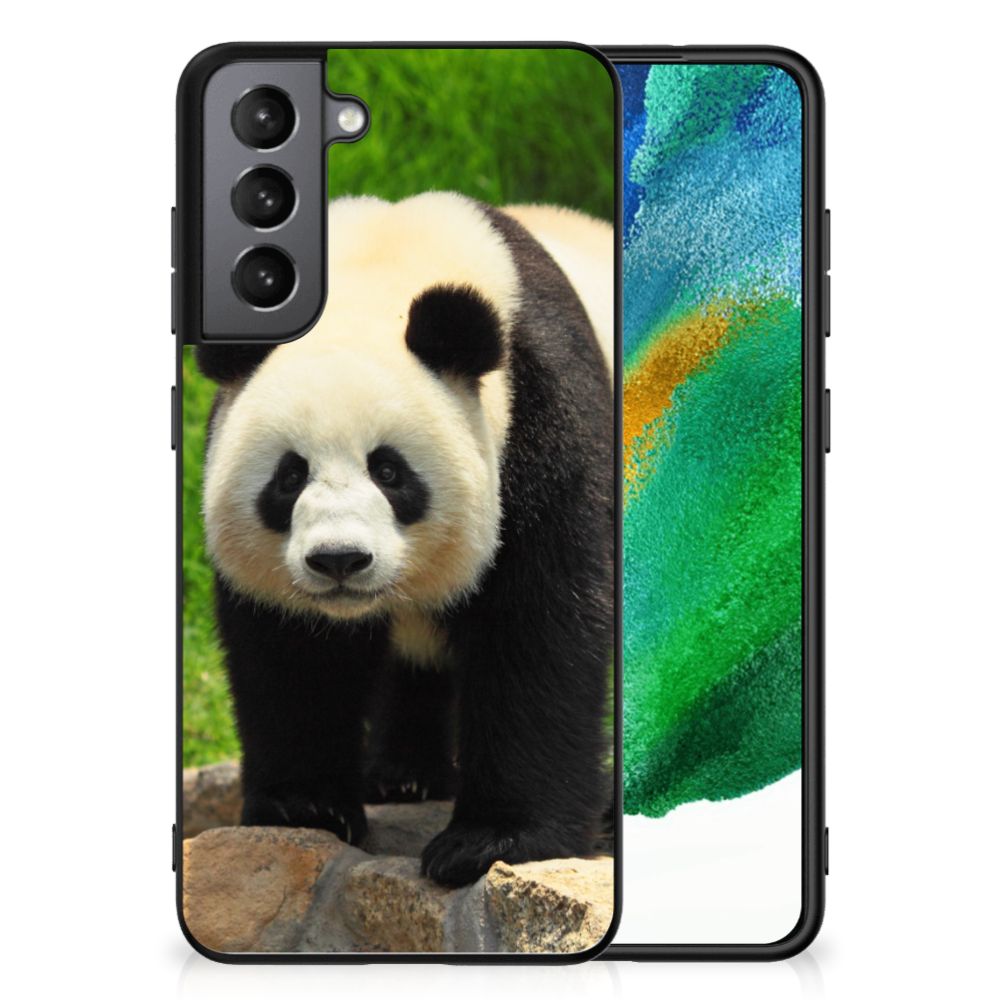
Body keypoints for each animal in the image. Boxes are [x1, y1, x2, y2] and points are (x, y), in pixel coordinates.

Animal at [197, 192, 614, 888]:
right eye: (289, 476)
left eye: (389, 471)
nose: (339, 560)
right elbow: (292, 653)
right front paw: (305, 806)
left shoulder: (543, 417)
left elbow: (541, 626)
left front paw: (491, 841)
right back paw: (403, 776)